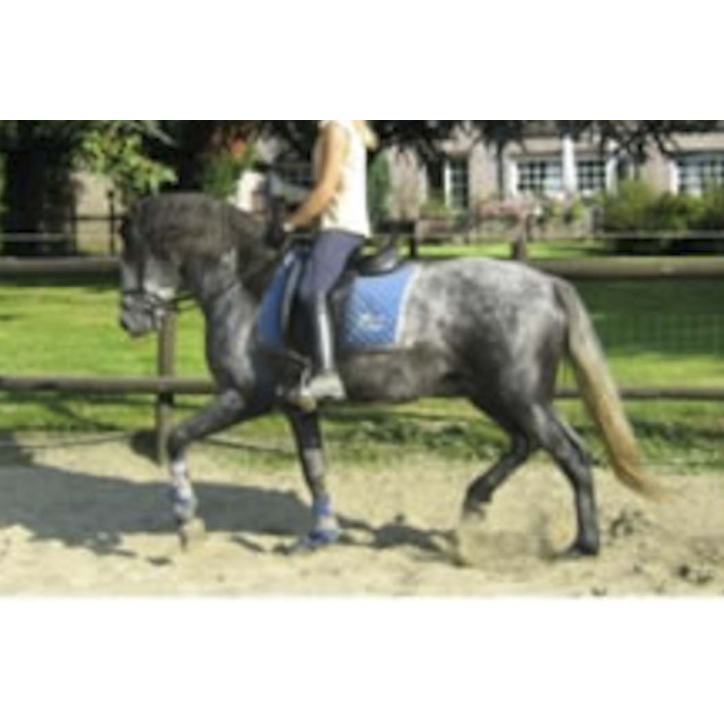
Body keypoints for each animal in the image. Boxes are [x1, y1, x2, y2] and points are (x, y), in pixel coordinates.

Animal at [119, 193, 661, 559]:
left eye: (131, 252)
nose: (129, 321)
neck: (248, 286)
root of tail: (547, 283)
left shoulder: (243, 396)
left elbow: (179, 439)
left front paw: (185, 521)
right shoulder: (296, 406)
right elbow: (314, 469)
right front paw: (321, 535)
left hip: (520, 395)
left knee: (570, 453)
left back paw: (583, 544)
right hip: (496, 394)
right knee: (527, 444)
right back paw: (475, 504)